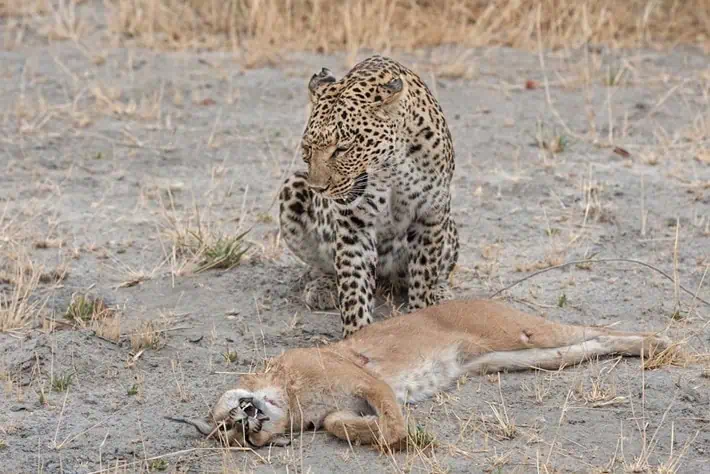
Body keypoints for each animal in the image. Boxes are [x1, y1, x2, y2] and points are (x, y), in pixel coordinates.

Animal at [278, 55, 459, 337]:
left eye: (342, 148)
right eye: (307, 147)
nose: (318, 188)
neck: (391, 165)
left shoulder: (429, 215)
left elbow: (424, 276)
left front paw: (422, 315)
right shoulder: (354, 227)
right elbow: (354, 289)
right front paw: (357, 336)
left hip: (449, 228)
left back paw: (441, 294)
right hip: (292, 187)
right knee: (322, 265)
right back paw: (321, 287)